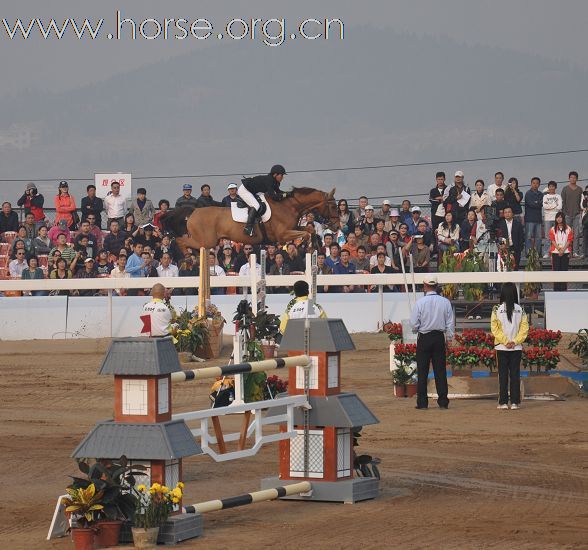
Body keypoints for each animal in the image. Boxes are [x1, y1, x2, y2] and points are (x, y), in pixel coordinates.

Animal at [162, 189, 340, 251]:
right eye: (332, 206)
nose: (337, 226)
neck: (290, 206)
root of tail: (194, 211)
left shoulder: (293, 228)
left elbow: (309, 230)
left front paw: (315, 245)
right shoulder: (282, 235)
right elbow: (304, 234)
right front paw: (305, 246)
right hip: (207, 241)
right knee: (181, 241)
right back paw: (186, 259)